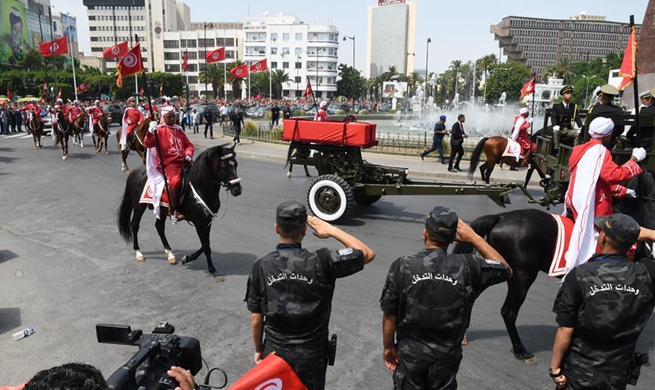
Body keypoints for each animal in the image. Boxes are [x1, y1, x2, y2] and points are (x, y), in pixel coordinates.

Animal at [116, 143, 242, 280]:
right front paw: (213, 270)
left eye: (235, 164)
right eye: (224, 165)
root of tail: (135, 171)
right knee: (135, 224)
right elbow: (206, 247)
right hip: (139, 206)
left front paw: (187, 258)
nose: (237, 189)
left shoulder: (207, 221)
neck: (199, 188)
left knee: (159, 227)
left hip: (161, 210)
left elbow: (205, 245)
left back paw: (170, 254)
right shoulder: (200, 223)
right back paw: (139, 253)